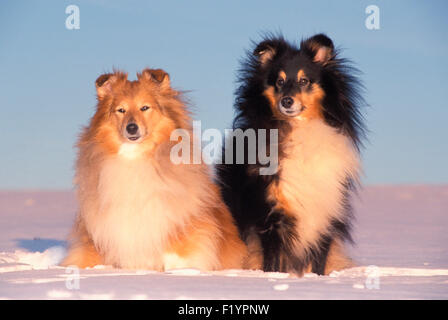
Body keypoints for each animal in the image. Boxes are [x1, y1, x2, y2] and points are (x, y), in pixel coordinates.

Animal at [217, 34, 368, 276]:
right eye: (279, 82)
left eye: (304, 81)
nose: (286, 101)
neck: (299, 131)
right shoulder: (271, 216)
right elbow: (273, 263)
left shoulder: (325, 214)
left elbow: (318, 263)